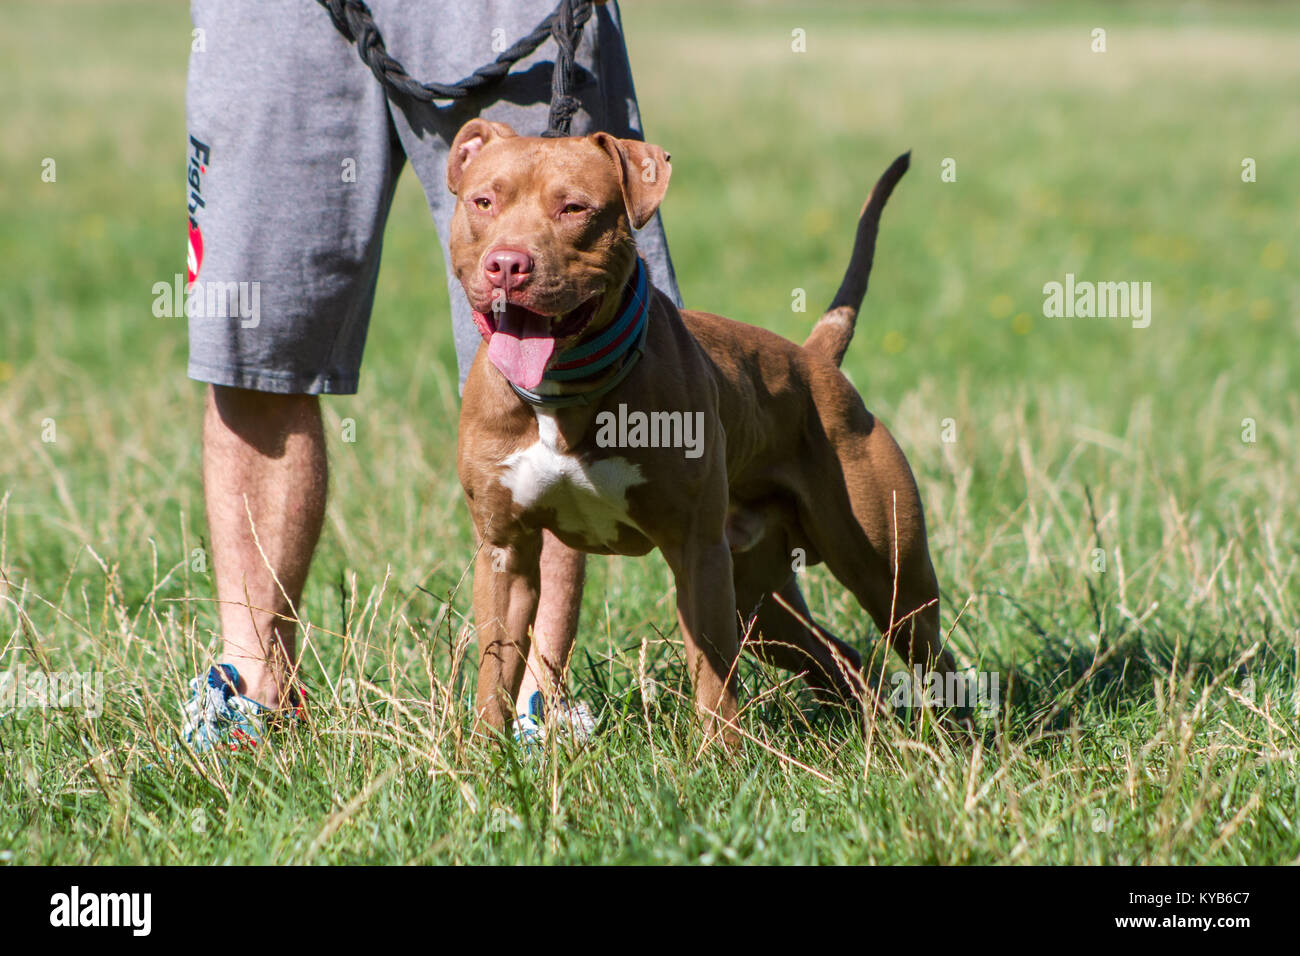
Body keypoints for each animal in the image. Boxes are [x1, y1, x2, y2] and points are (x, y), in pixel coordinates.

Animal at [452, 117, 961, 738]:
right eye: (483, 201)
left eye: (574, 208)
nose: (507, 263)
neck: (564, 391)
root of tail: (815, 357)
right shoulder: (506, 552)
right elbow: (495, 672)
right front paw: (486, 750)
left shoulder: (697, 550)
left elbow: (714, 679)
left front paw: (719, 753)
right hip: (759, 599)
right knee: (835, 656)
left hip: (885, 573)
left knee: (931, 651)